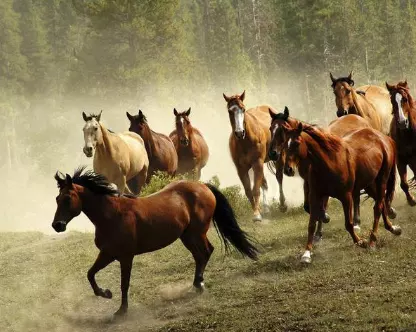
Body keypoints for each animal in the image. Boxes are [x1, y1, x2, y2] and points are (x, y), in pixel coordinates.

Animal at [51, 166, 256, 316]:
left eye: (68, 198)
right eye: (57, 198)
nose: (57, 225)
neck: (112, 215)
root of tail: (203, 186)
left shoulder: (125, 257)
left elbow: (124, 284)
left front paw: (121, 311)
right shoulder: (108, 253)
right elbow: (90, 274)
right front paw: (106, 293)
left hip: (196, 233)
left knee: (205, 252)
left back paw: (199, 284)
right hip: (187, 236)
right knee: (202, 254)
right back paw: (198, 284)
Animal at [223, 89, 282, 222]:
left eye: (243, 109)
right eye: (230, 111)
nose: (239, 132)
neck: (246, 141)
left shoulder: (257, 164)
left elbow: (255, 189)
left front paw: (257, 216)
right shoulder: (241, 169)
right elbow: (249, 191)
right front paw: (257, 212)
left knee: (279, 178)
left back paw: (283, 205)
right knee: (264, 183)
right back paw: (266, 208)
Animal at [268, 107, 372, 240]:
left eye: (282, 129)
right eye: (270, 128)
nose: (272, 153)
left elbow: (323, 204)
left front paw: (322, 223)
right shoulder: (308, 181)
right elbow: (308, 206)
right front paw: (319, 227)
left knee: (356, 197)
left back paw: (357, 223)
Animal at [282, 120, 402, 264]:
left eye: (297, 143)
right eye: (284, 144)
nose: (288, 169)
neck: (329, 160)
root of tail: (384, 138)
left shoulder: (346, 196)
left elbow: (348, 224)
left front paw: (361, 242)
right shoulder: (315, 195)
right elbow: (311, 225)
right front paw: (306, 254)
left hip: (381, 180)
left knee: (378, 207)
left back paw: (372, 241)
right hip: (369, 184)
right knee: (382, 202)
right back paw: (393, 229)